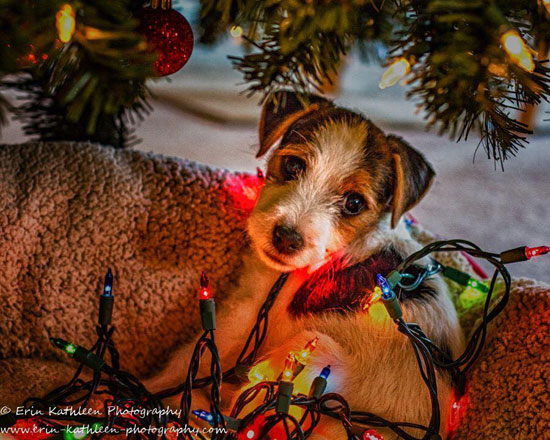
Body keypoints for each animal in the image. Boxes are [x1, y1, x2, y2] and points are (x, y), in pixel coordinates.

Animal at [148, 91, 466, 438]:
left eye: (354, 203)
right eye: (293, 165)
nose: (286, 239)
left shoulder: (244, 315)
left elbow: (184, 362)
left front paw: (147, 388)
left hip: (311, 351)